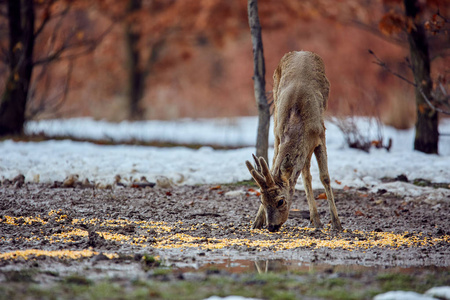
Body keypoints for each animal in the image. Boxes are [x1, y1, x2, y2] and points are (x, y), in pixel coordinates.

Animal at [246, 51, 342, 232]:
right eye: (262, 200)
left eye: (281, 201)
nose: (272, 226)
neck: (297, 121)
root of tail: (302, 51)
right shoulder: (278, 134)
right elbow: (274, 167)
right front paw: (257, 221)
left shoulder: (321, 134)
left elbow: (325, 177)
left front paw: (336, 223)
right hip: (275, 103)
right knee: (303, 173)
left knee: (307, 174)